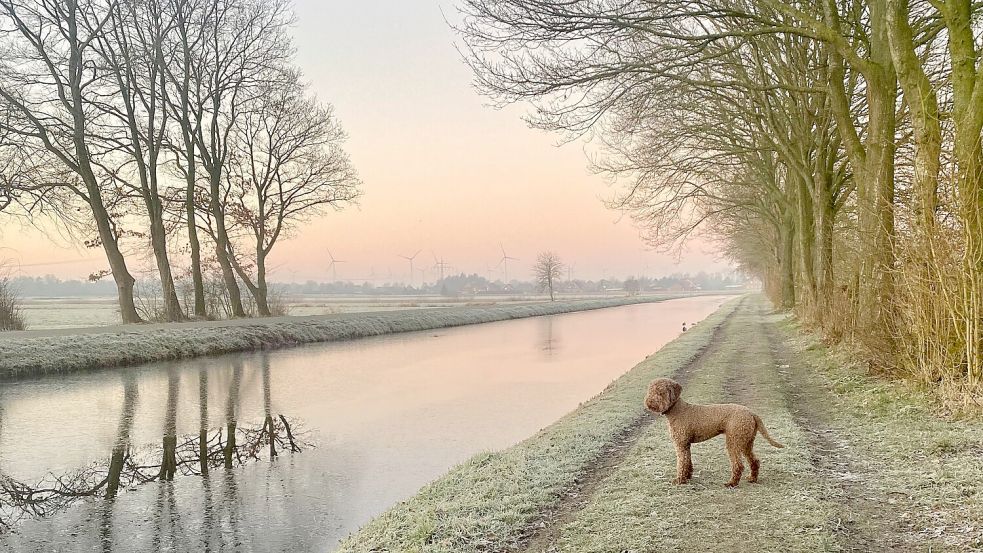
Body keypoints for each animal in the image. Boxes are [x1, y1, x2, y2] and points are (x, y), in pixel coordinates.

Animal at [644, 378, 784, 486]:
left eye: (661, 392)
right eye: (650, 390)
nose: (649, 403)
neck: (677, 410)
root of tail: (751, 413)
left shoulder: (680, 444)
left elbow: (681, 463)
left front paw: (679, 480)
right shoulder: (686, 445)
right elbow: (688, 461)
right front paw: (687, 477)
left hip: (734, 441)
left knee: (738, 465)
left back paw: (732, 483)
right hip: (746, 442)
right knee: (755, 460)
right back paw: (752, 478)